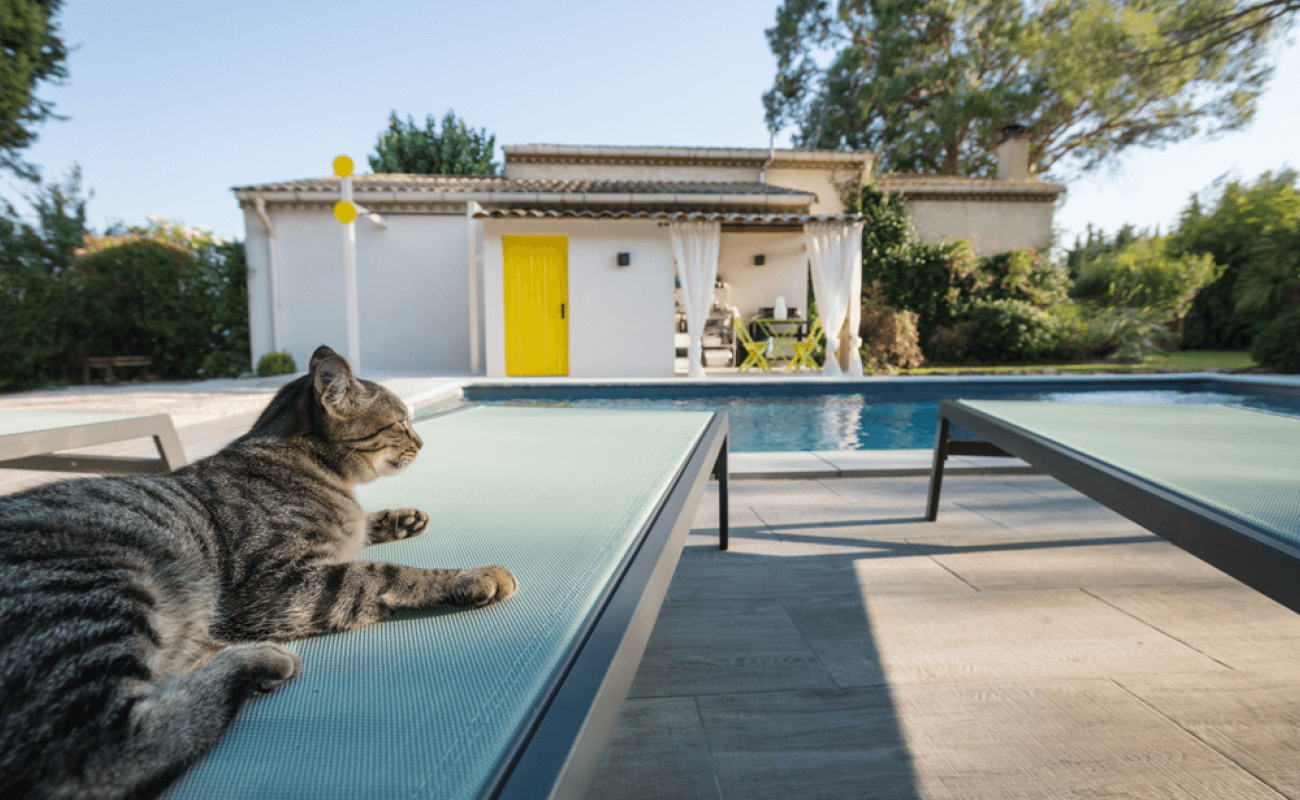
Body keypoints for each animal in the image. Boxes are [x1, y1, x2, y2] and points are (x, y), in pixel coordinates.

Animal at [0, 346, 514, 800]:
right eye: (400, 423)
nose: (421, 441)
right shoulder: (277, 585)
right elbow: (386, 575)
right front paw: (471, 576)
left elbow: (362, 529)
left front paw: (397, 519)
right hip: (104, 594)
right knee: (101, 758)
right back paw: (250, 663)